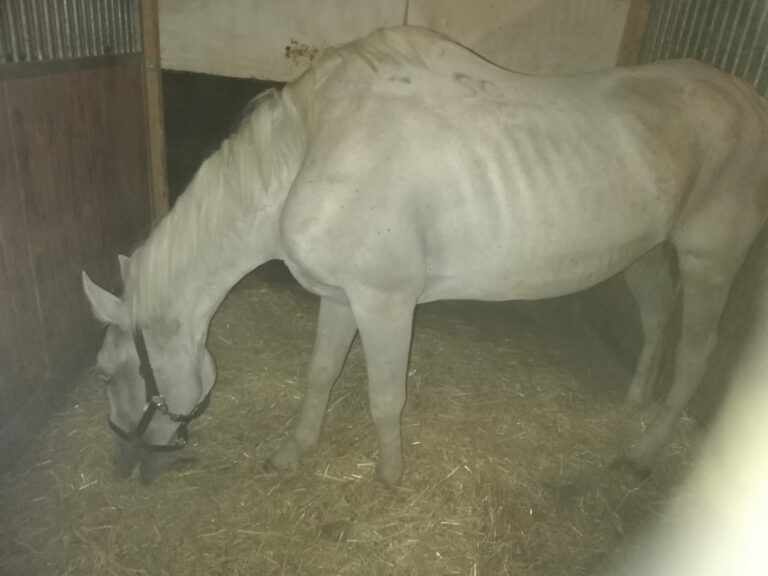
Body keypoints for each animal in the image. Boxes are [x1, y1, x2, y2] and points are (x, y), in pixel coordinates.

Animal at [82, 26, 768, 484]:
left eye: (108, 373)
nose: (126, 466)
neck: (310, 153)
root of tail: (748, 100)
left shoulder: (385, 304)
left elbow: (385, 397)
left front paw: (388, 477)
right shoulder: (341, 298)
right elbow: (320, 375)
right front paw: (294, 452)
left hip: (710, 261)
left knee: (695, 355)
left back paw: (645, 451)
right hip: (648, 254)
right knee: (655, 322)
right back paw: (632, 406)